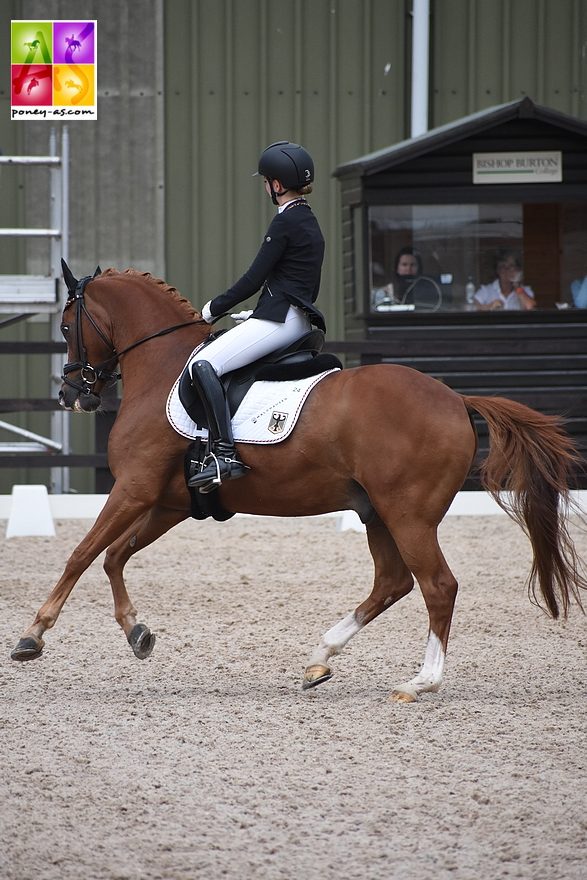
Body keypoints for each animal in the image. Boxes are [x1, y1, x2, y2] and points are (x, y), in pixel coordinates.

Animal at [10, 268, 587, 700]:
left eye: (66, 326)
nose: (71, 394)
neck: (162, 368)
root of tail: (454, 398)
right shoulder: (167, 501)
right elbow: (113, 557)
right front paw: (137, 632)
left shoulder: (132, 489)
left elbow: (81, 555)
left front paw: (32, 637)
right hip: (377, 511)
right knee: (392, 583)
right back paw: (319, 659)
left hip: (408, 514)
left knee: (437, 586)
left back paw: (420, 682)